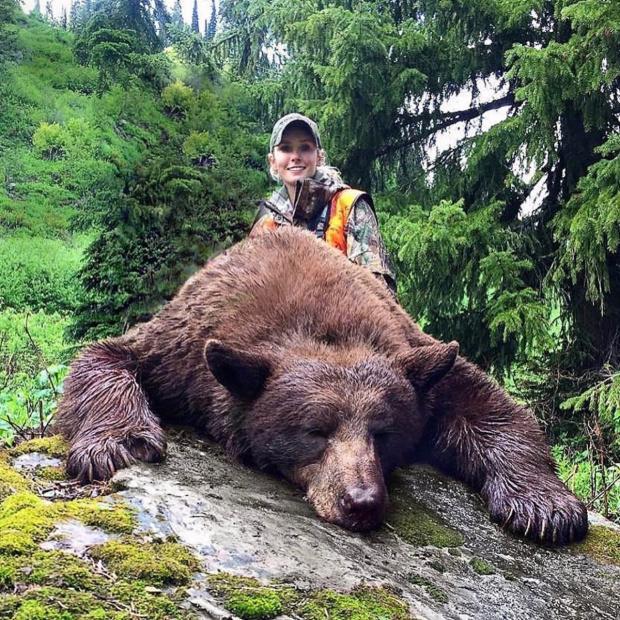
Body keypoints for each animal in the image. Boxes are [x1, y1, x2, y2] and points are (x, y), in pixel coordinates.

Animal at [55, 226, 588, 544]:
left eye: (383, 433)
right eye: (315, 431)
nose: (362, 502)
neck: (317, 323)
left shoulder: (414, 352)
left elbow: (486, 401)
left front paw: (546, 506)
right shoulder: (181, 348)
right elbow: (105, 356)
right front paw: (118, 442)